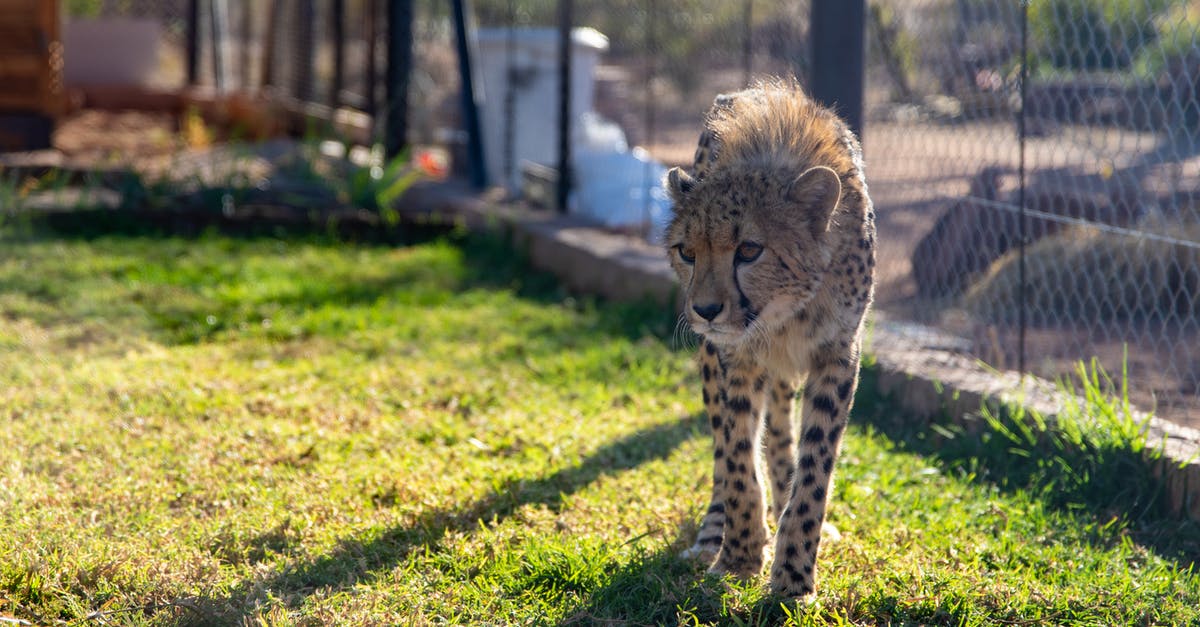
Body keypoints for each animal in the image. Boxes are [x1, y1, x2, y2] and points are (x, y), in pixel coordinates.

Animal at [667, 80, 873, 598]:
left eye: (749, 250)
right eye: (687, 252)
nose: (705, 310)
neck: (784, 311)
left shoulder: (837, 356)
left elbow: (814, 467)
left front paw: (794, 577)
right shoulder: (734, 358)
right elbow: (737, 458)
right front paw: (738, 555)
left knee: (780, 426)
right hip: (711, 357)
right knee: (726, 448)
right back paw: (715, 531)